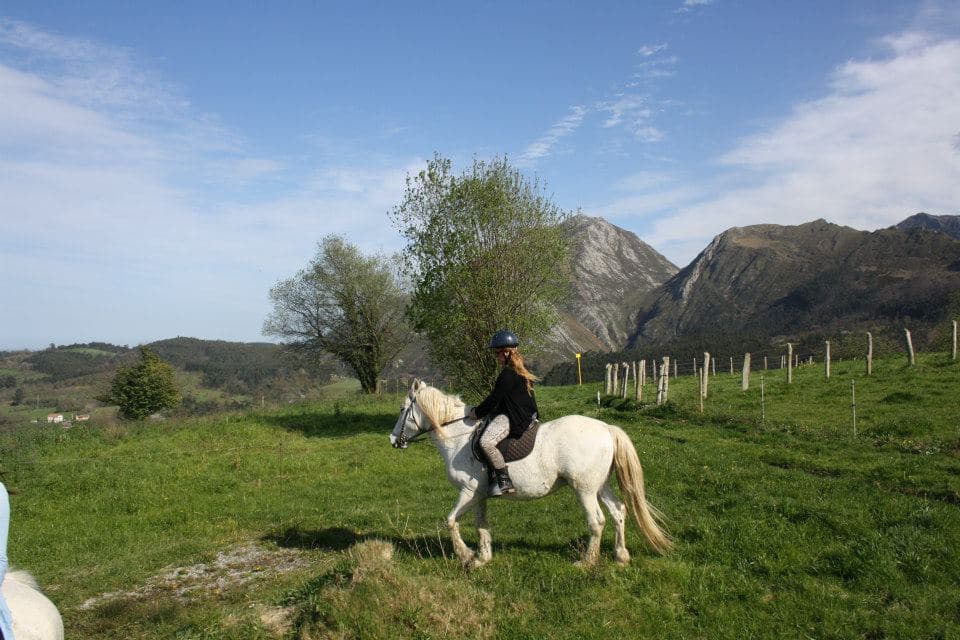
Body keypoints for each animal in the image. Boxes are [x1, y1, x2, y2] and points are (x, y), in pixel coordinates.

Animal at [386, 378, 672, 568]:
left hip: (585, 489)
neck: (459, 438)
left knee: (597, 521)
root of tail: (606, 428)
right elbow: (481, 525)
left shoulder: (468, 492)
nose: (392, 440)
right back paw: (621, 556)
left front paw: (465, 555)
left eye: (402, 409)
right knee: (619, 512)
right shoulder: (479, 496)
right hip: (600, 486)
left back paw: (586, 562)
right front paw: (482, 558)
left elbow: (450, 521)